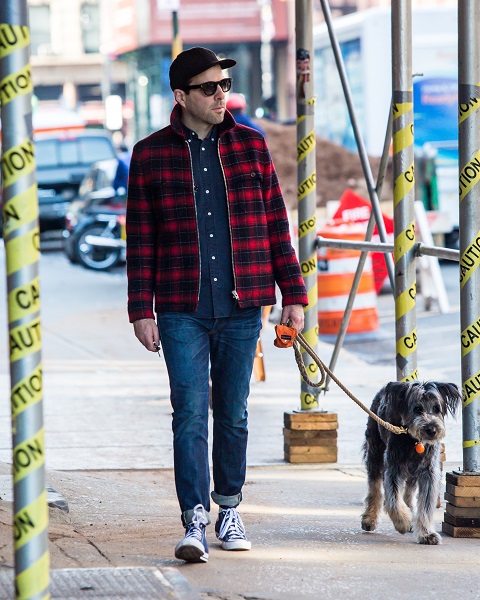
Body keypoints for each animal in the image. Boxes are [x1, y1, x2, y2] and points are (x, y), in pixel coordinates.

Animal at [360, 382, 462, 548]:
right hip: (375, 451)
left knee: (409, 491)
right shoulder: (393, 468)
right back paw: (370, 518)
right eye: (417, 409)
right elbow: (393, 500)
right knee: (374, 488)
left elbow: (425, 504)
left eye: (436, 408)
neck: (413, 441)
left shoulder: (429, 472)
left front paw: (426, 533)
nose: (432, 430)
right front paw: (402, 521)